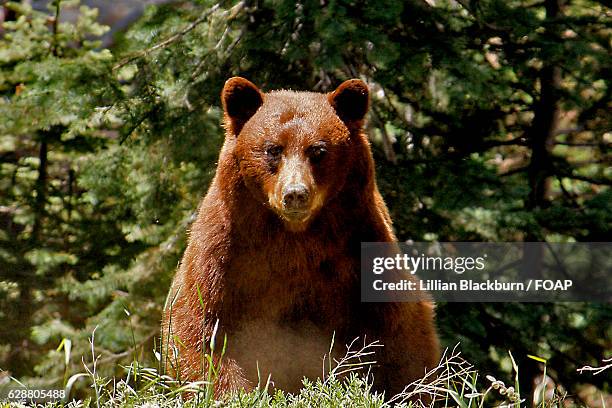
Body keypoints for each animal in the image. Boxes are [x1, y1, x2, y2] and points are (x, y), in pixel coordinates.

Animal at [163, 77, 440, 398]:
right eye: (273, 149)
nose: (295, 194)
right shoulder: (224, 254)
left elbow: (398, 336)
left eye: (318, 150)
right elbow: (201, 328)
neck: (294, 237)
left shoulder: (359, 252)